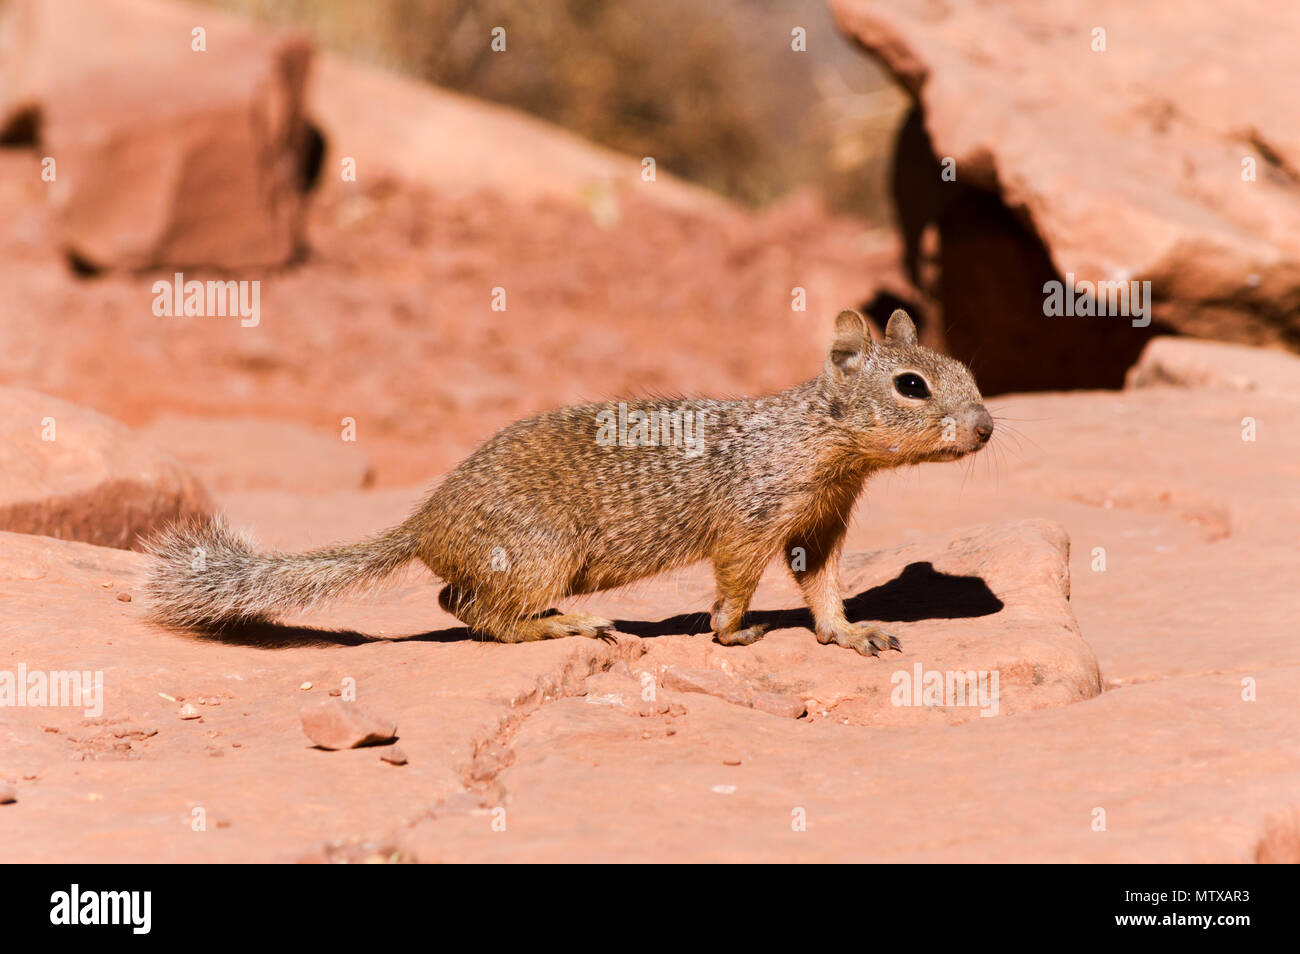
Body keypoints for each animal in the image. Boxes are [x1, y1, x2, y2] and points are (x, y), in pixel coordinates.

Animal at [144, 308, 992, 656]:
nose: (986, 428)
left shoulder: (819, 525)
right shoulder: (751, 520)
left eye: (968, 368)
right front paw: (731, 631)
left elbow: (823, 590)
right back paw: (567, 626)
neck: (819, 441)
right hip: (540, 552)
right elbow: (735, 585)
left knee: (457, 602)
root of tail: (424, 522)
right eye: (912, 386)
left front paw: (852, 633)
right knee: (475, 613)